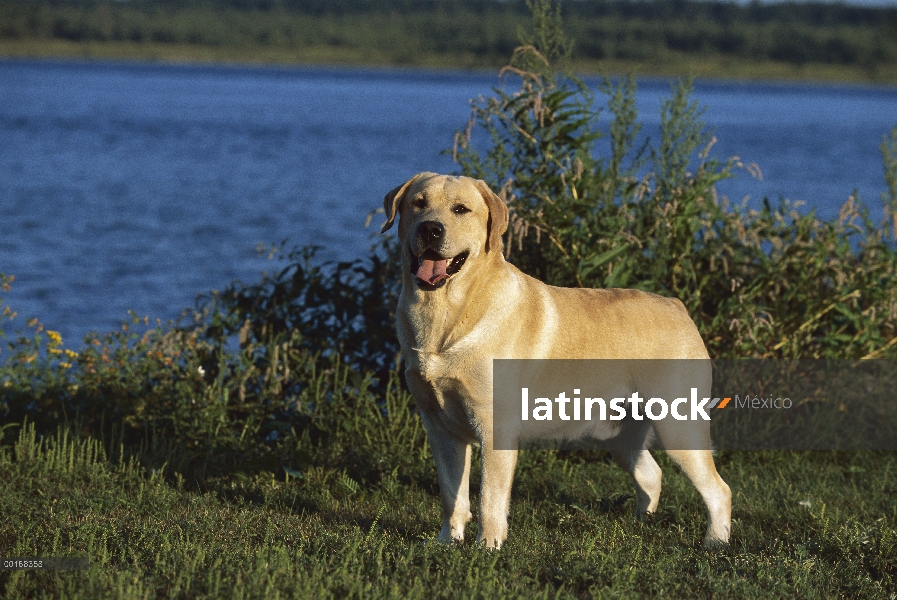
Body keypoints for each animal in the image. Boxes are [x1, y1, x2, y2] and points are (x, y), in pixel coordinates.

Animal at [382, 172, 732, 548]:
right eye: (418, 204)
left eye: (460, 209)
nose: (430, 229)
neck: (444, 314)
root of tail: (677, 305)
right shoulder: (439, 426)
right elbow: (451, 494)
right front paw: (447, 543)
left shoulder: (493, 427)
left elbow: (489, 497)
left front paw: (487, 547)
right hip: (617, 435)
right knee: (652, 475)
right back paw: (642, 524)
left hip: (677, 426)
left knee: (719, 490)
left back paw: (716, 542)